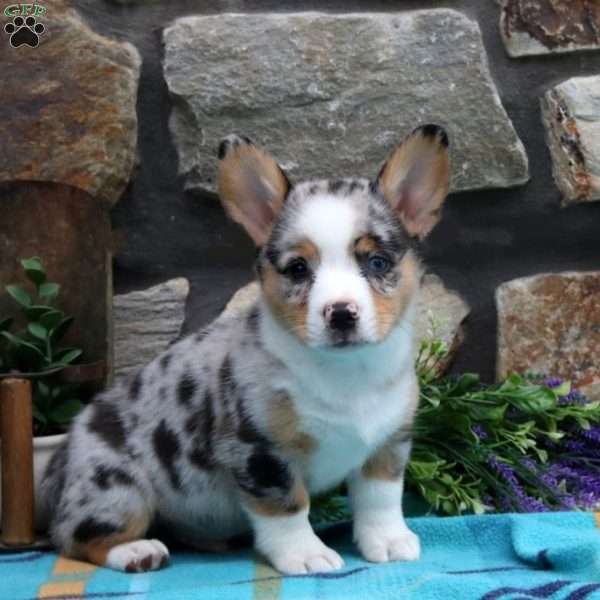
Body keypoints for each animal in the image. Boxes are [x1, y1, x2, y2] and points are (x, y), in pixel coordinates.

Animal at [42, 124, 450, 576]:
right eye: (298, 269)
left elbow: (381, 500)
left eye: (377, 263)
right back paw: (135, 551)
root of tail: (63, 459)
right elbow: (288, 507)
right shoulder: (260, 450)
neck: (347, 372)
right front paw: (305, 554)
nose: (341, 314)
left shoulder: (387, 444)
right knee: (75, 538)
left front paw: (389, 541)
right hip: (117, 489)